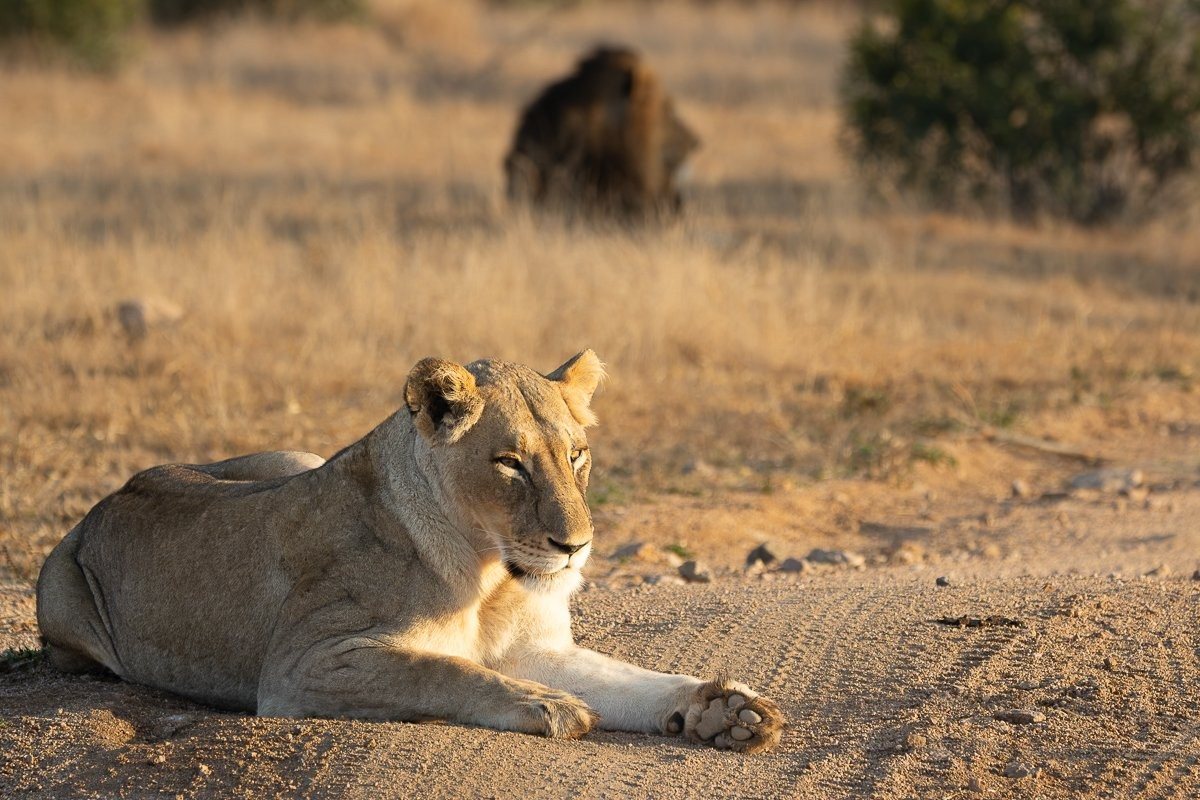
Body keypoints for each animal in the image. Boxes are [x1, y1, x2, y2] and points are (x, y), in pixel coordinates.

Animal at [36, 351, 784, 753]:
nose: (576, 547)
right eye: (510, 463)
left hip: (294, 456)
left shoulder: (538, 645)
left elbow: (635, 679)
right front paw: (549, 704)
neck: (491, 575)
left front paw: (725, 710)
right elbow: (445, 670)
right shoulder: (303, 664)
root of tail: (110, 497)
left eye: (577, 455)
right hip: (68, 605)